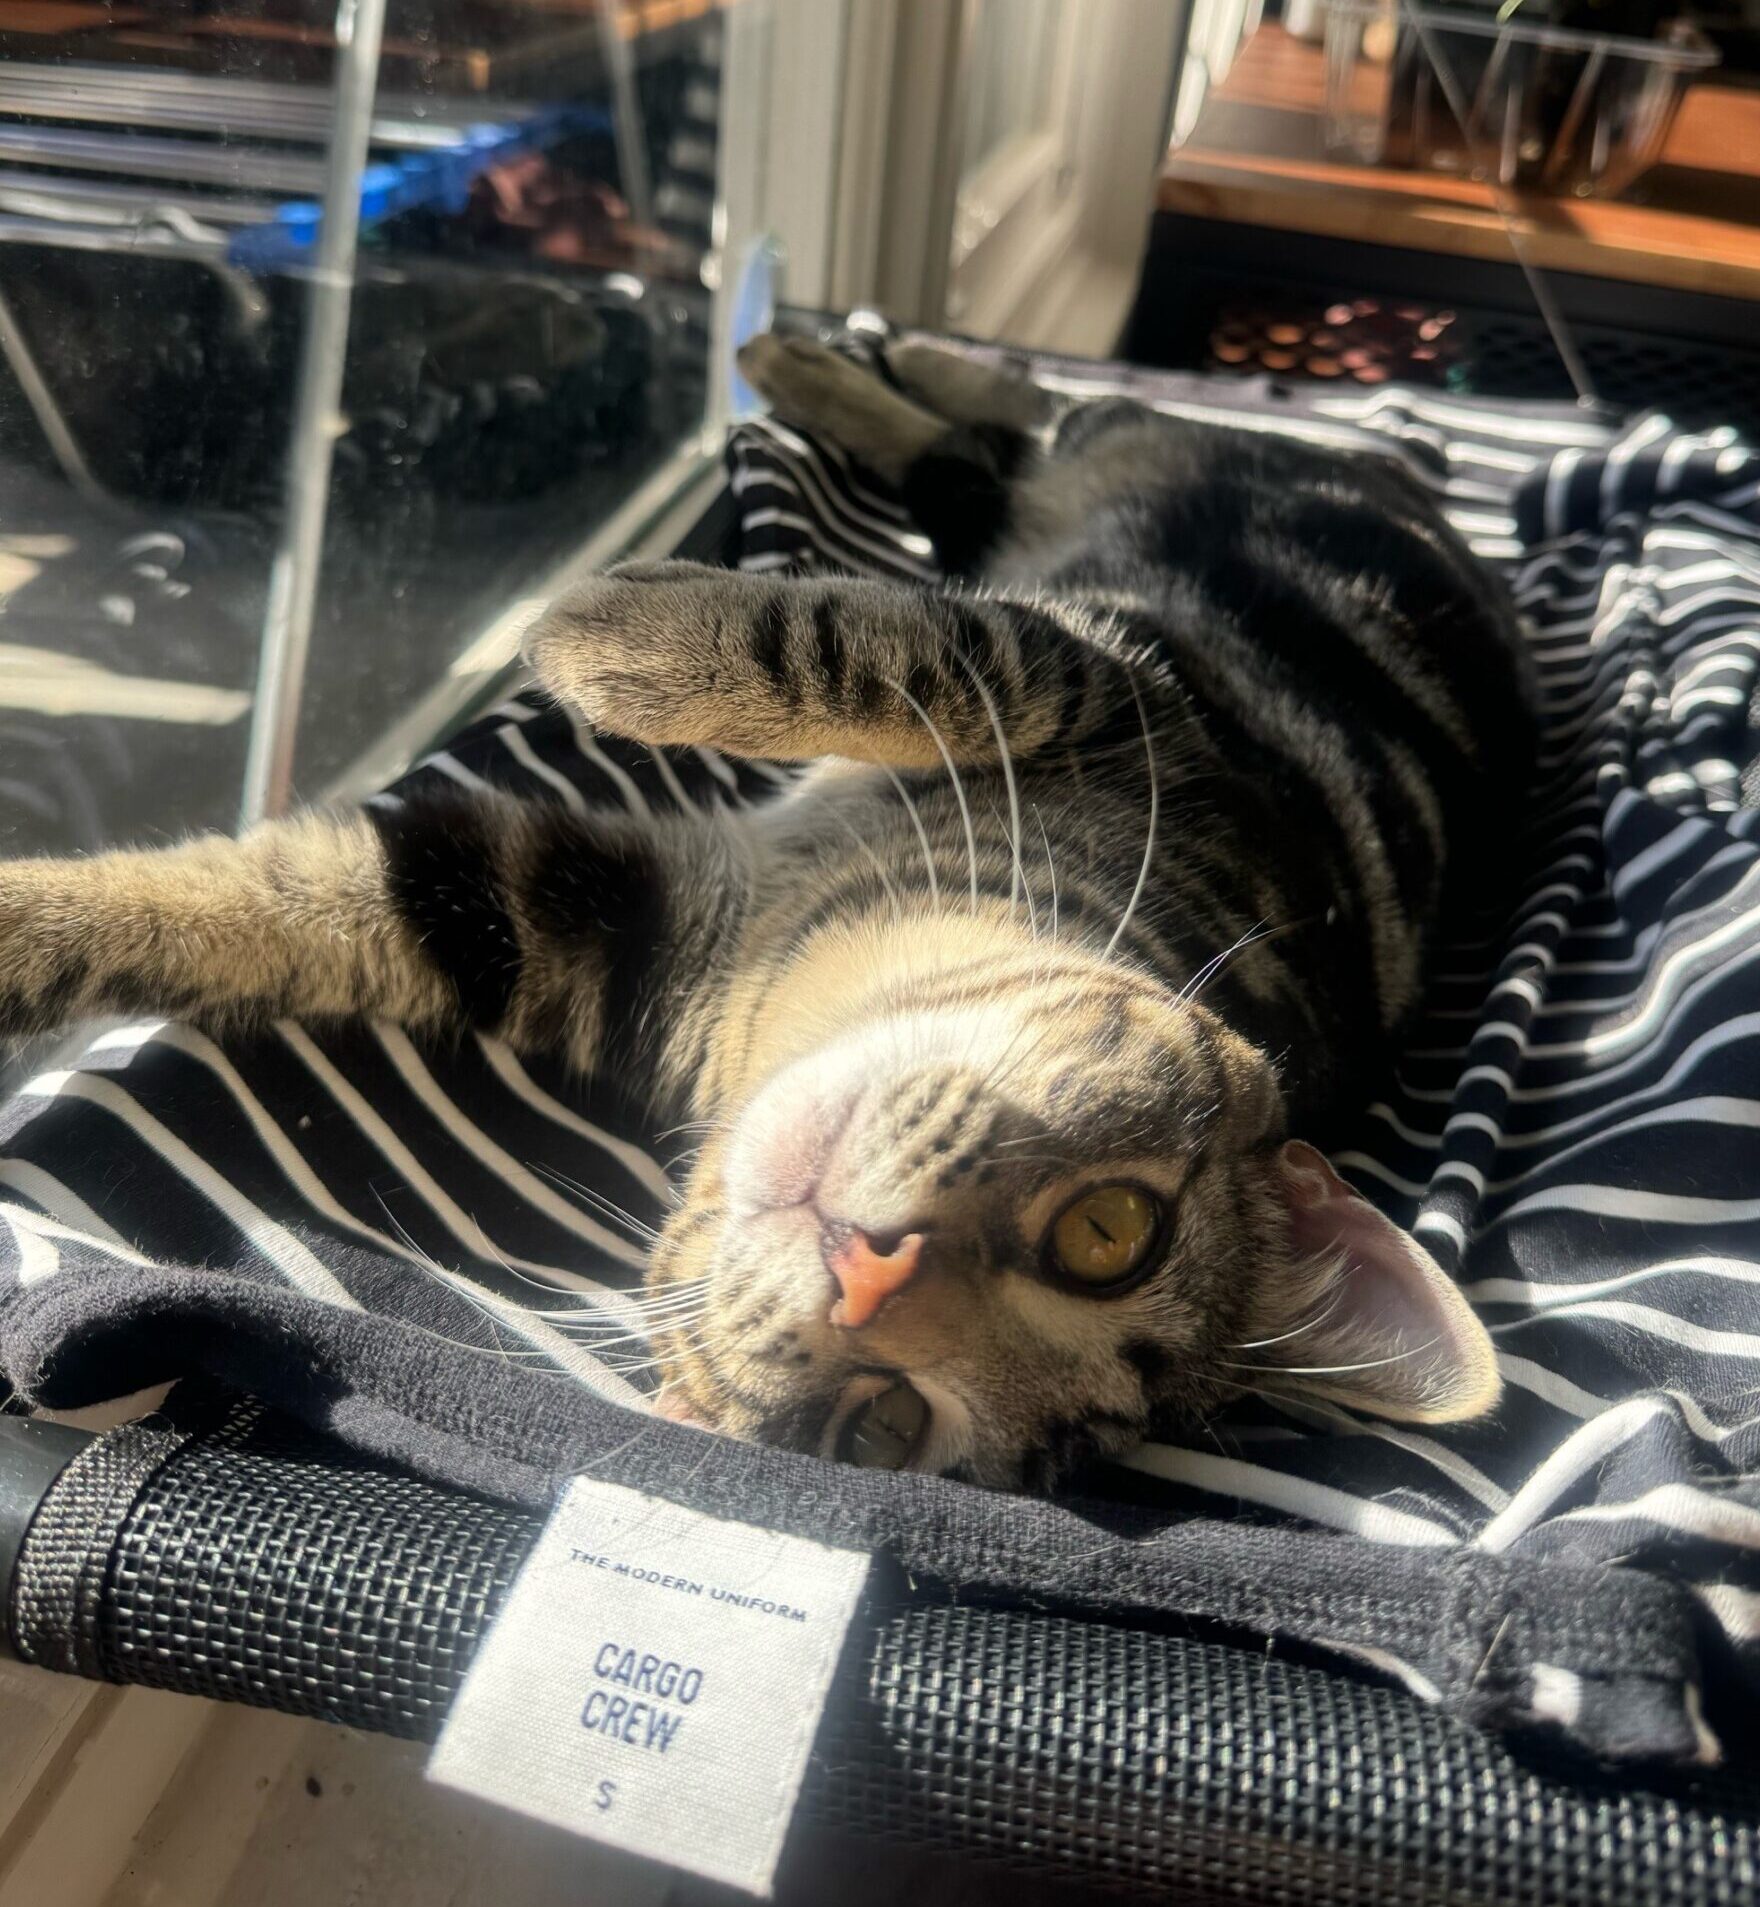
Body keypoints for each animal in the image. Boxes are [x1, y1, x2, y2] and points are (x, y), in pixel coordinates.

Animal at [0, 331, 1535, 1489]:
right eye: (1111, 1233)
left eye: (882, 1423)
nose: (869, 1274)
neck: (790, 958)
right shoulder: (1115, 689)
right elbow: (897, 646)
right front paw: (610, 631)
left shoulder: (567, 915)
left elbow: (292, 899)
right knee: (1033, 426)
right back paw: (832, 353)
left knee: (995, 452)